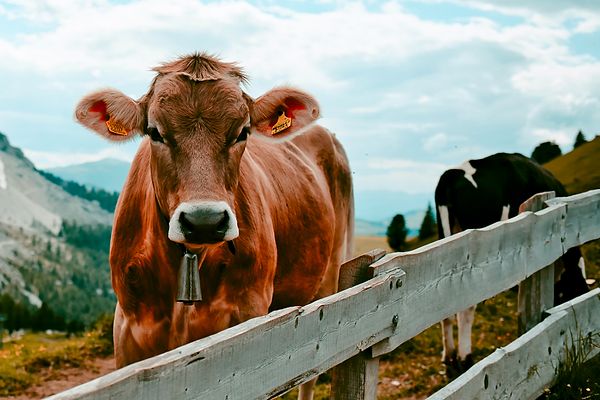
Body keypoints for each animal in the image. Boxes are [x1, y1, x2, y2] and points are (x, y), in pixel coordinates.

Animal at [77, 52, 354, 396]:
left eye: (243, 131)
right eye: (154, 132)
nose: (204, 221)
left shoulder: (250, 319)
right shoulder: (128, 331)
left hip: (328, 278)